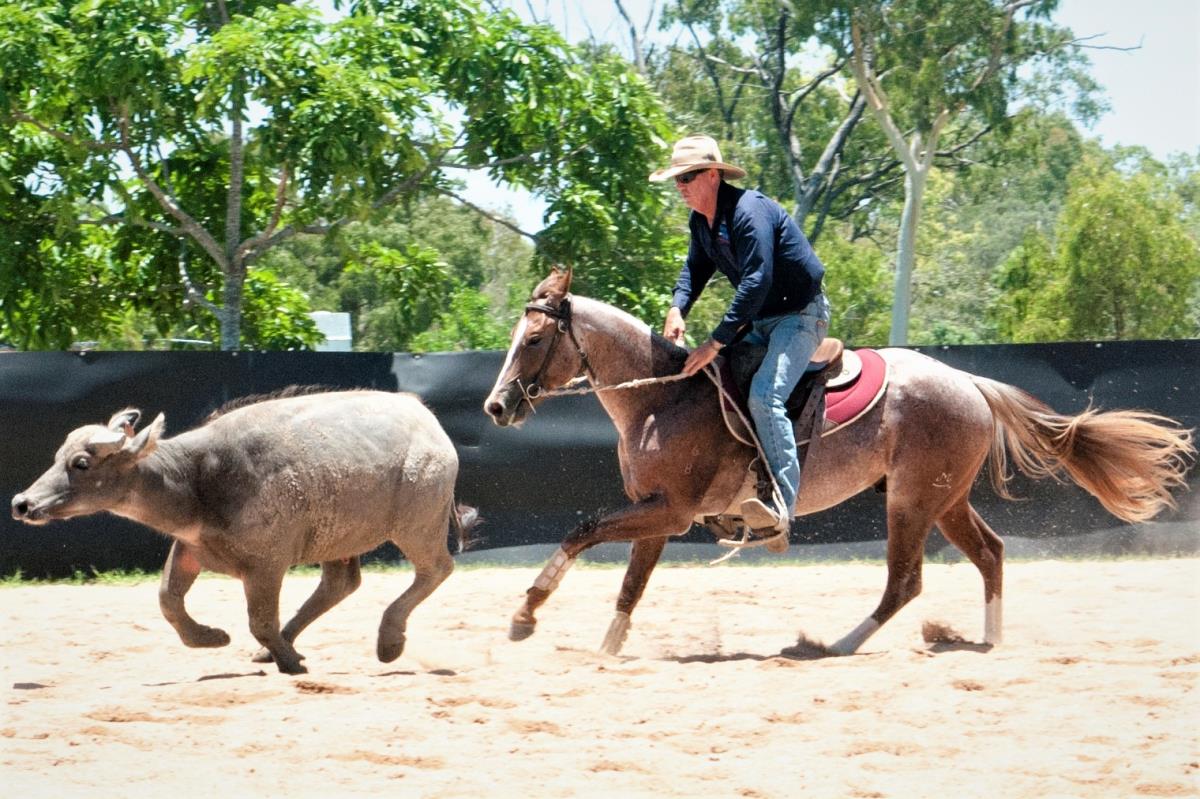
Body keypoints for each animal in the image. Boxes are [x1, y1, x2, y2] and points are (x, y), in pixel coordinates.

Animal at [483, 267, 1195, 657]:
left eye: (536, 338)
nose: (495, 405)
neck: (665, 396)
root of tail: (970, 383)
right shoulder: (658, 514)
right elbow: (631, 584)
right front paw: (605, 650)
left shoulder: (670, 510)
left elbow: (583, 532)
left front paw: (525, 615)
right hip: (944, 499)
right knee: (990, 553)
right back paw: (989, 641)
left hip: (911, 501)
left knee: (905, 582)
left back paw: (833, 646)